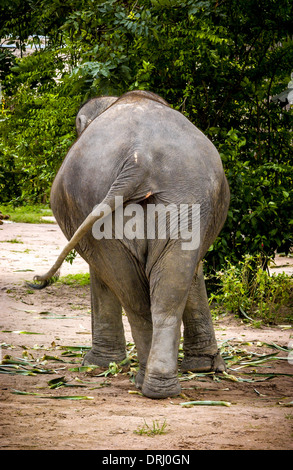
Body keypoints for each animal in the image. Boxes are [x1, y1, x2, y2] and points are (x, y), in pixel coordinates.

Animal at [30, 90, 230, 398]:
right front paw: (205, 368)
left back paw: (147, 382)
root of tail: (139, 161)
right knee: (160, 293)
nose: (36, 281)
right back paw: (160, 387)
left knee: (131, 290)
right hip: (186, 199)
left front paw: (97, 364)